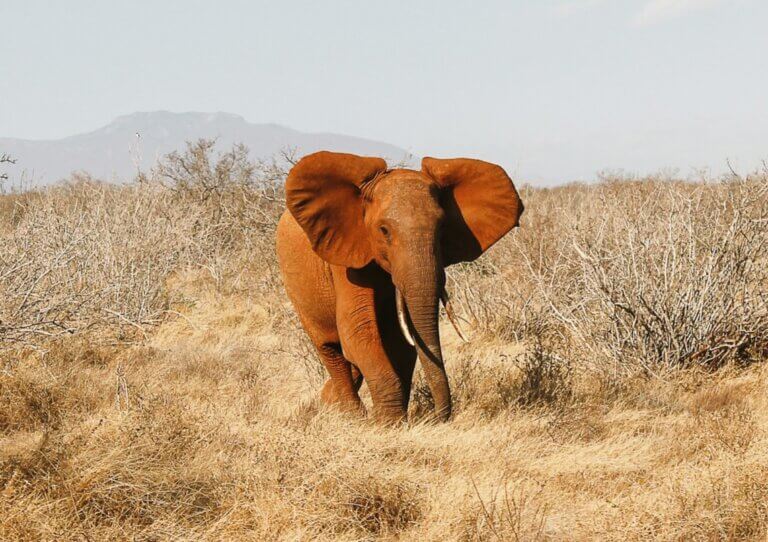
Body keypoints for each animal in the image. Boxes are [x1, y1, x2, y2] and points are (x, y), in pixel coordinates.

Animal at [276, 151, 523, 422]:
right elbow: (358, 330)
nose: (437, 417)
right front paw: (389, 423)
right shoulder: (347, 257)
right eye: (384, 230)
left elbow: (402, 340)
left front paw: (396, 418)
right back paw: (351, 415)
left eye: (442, 228)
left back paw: (328, 400)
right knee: (331, 350)